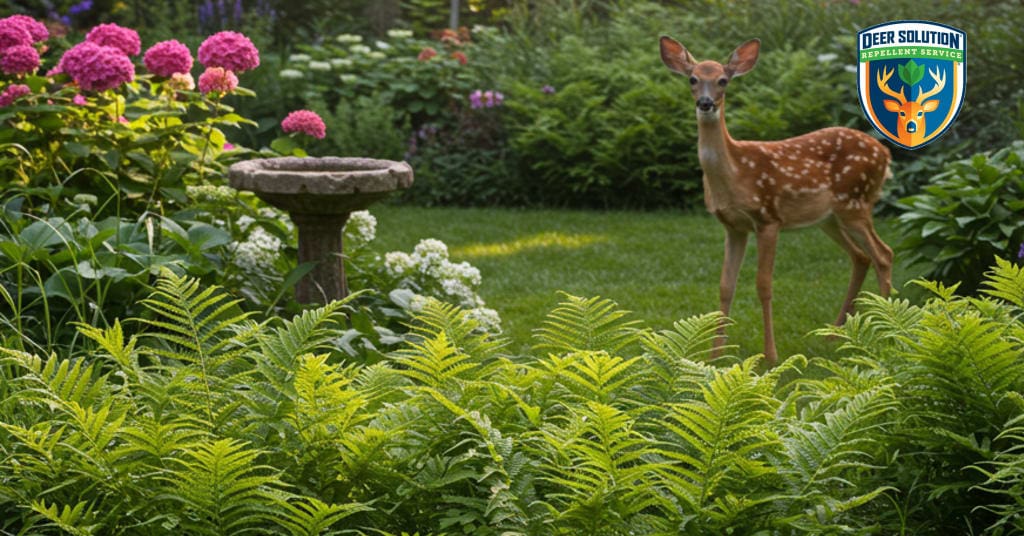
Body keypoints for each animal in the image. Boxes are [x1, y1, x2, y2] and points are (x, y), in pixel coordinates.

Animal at [659, 36, 894, 365]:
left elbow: (763, 285)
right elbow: (725, 285)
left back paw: (886, 334)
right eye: (693, 79)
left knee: (884, 254)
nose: (705, 103)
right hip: (829, 218)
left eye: (722, 81)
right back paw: (834, 335)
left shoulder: (768, 218)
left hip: (855, 203)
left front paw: (771, 355)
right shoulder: (733, 226)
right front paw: (715, 355)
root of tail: (885, 153)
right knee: (862, 257)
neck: (734, 174)